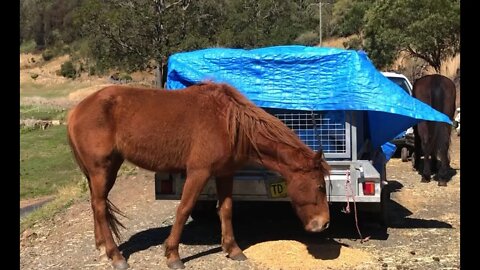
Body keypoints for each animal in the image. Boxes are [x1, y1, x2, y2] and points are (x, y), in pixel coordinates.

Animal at [66, 81, 330, 268]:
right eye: (319, 186)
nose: (324, 223)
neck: (228, 122)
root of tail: (76, 110)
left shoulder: (225, 173)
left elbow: (226, 209)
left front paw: (233, 249)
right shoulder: (198, 173)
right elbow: (183, 209)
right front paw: (172, 255)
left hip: (106, 170)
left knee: (96, 204)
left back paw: (103, 248)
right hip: (101, 170)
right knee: (100, 207)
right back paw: (116, 256)